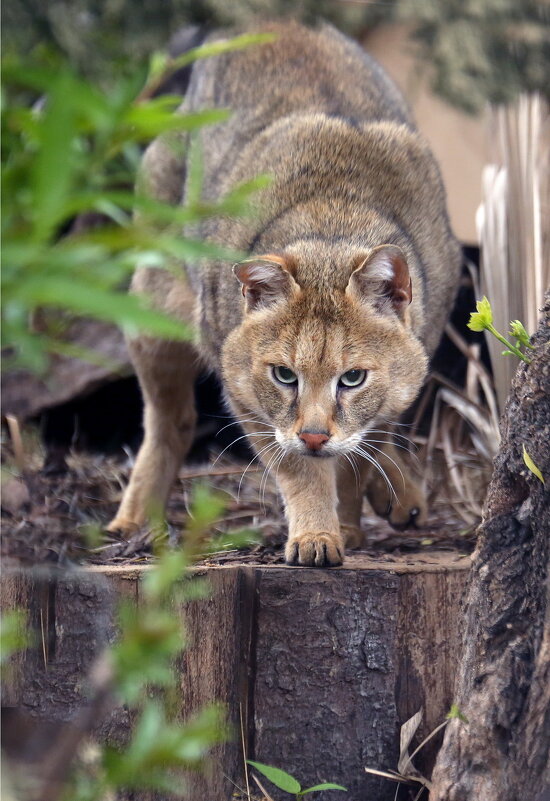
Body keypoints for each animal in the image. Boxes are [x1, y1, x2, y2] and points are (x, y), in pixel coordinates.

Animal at [108, 20, 462, 568]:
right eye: (284, 375)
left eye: (353, 378)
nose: (314, 434)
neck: (333, 222)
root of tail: (269, 22)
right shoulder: (245, 392)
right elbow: (301, 469)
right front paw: (319, 533)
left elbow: (364, 447)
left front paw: (350, 522)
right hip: (151, 308)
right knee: (171, 420)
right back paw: (134, 520)